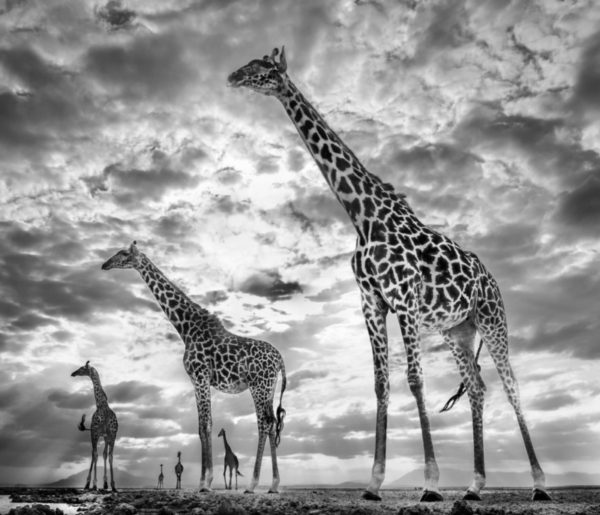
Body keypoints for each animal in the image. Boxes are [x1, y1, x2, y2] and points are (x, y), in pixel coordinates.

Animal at [71, 360, 118, 494]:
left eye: (82, 368)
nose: (73, 373)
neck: (101, 405)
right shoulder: (107, 435)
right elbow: (103, 455)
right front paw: (104, 484)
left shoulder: (94, 432)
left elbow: (95, 455)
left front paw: (94, 484)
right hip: (109, 436)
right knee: (107, 455)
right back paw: (109, 485)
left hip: (99, 435)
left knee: (97, 454)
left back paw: (96, 484)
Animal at [102, 244, 288, 494]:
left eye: (123, 253)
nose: (105, 264)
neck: (186, 328)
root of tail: (280, 360)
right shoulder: (199, 379)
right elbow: (203, 426)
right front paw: (206, 481)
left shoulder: (199, 376)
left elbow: (204, 426)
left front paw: (204, 483)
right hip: (268, 387)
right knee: (272, 423)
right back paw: (274, 485)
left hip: (259, 386)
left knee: (264, 423)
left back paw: (253, 484)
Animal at [227, 46, 552, 502]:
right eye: (250, 64)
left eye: (266, 70)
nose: (233, 77)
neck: (363, 216)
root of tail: (493, 281)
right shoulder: (373, 303)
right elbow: (381, 384)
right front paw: (373, 483)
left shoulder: (405, 299)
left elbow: (415, 379)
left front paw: (431, 483)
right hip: (458, 330)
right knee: (477, 387)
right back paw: (474, 486)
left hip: (492, 319)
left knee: (511, 386)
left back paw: (539, 484)